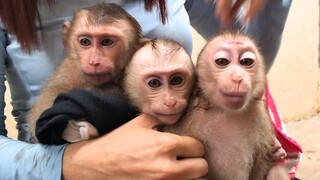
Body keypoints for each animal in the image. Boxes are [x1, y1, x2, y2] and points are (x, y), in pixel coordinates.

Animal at [164, 31, 288, 180]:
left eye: (246, 62)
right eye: (222, 62)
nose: (237, 78)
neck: (228, 112)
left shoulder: (260, 117)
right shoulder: (191, 119)